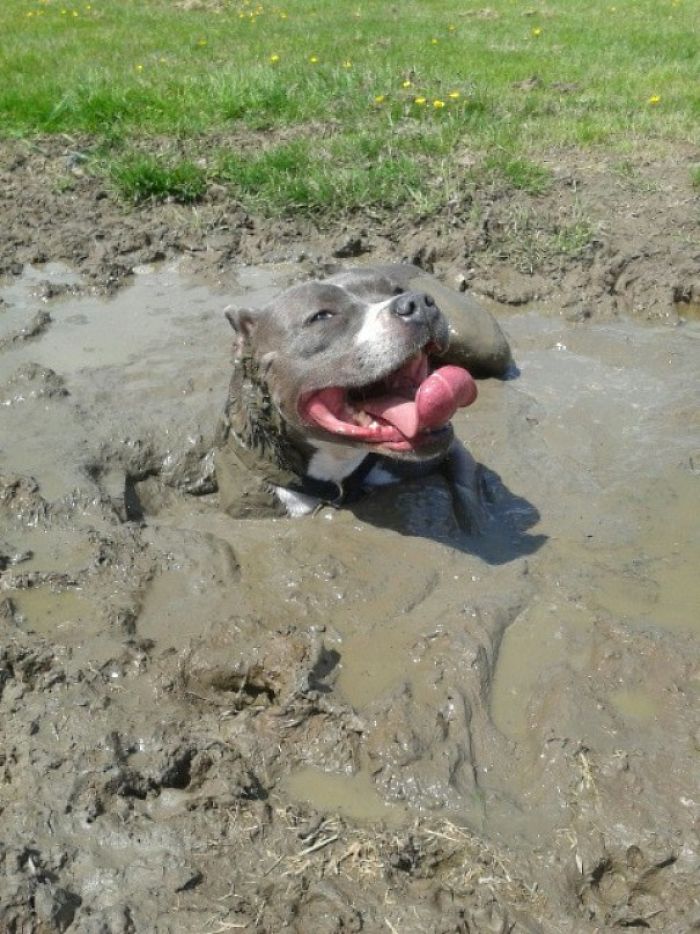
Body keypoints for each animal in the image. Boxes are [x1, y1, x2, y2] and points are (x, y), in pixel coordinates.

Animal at [216, 266, 512, 524]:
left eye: (397, 290)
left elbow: (467, 494)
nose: (418, 301)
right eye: (322, 316)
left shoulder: (450, 450)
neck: (338, 468)